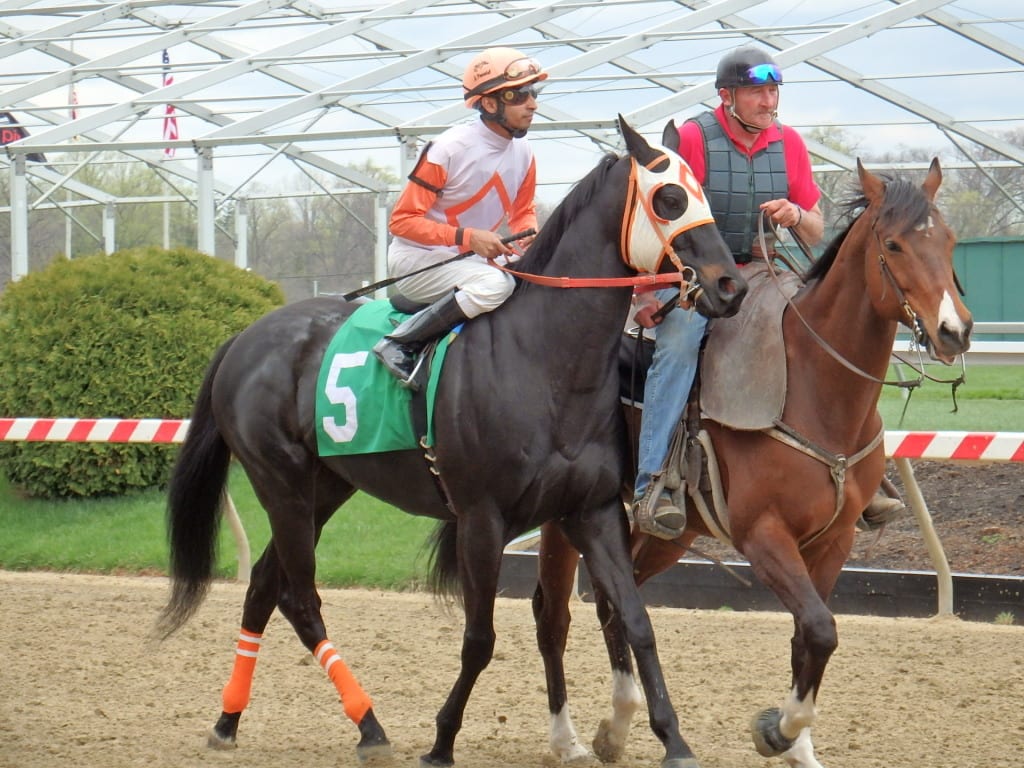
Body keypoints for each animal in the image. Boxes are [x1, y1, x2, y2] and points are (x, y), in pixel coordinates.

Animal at [159, 115, 749, 768]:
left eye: (703, 194)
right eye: (668, 198)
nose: (730, 285)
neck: (543, 361)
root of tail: (244, 336)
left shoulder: (591, 510)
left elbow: (636, 620)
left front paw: (673, 738)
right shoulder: (481, 518)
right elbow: (479, 638)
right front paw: (442, 739)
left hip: (324, 486)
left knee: (266, 585)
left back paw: (230, 720)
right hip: (279, 480)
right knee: (301, 597)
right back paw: (369, 726)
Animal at [532, 157, 970, 768]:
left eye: (948, 241)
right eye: (894, 244)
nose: (955, 330)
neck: (814, 387)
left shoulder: (833, 541)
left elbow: (809, 637)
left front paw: (799, 747)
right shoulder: (764, 535)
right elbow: (821, 628)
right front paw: (777, 731)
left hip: (667, 534)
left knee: (613, 601)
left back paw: (615, 727)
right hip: (565, 517)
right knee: (554, 613)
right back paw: (564, 739)